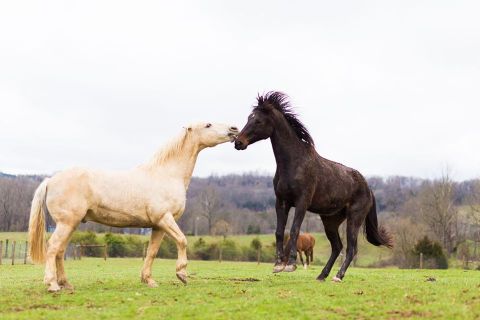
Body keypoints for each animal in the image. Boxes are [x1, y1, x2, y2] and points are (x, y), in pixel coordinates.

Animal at [28, 122, 238, 292]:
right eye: (208, 125)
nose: (234, 129)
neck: (166, 175)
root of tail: (50, 180)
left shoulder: (158, 226)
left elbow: (152, 252)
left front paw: (149, 280)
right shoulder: (165, 218)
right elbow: (182, 240)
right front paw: (182, 274)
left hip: (71, 224)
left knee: (60, 251)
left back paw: (66, 284)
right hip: (66, 223)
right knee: (53, 248)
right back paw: (52, 285)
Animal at [234, 92, 392, 282]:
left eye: (258, 121)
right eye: (249, 118)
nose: (238, 142)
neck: (294, 163)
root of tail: (368, 188)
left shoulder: (302, 202)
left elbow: (294, 230)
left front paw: (291, 264)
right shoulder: (281, 202)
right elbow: (279, 231)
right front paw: (278, 265)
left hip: (354, 219)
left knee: (351, 248)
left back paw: (338, 276)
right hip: (330, 221)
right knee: (337, 247)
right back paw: (322, 275)